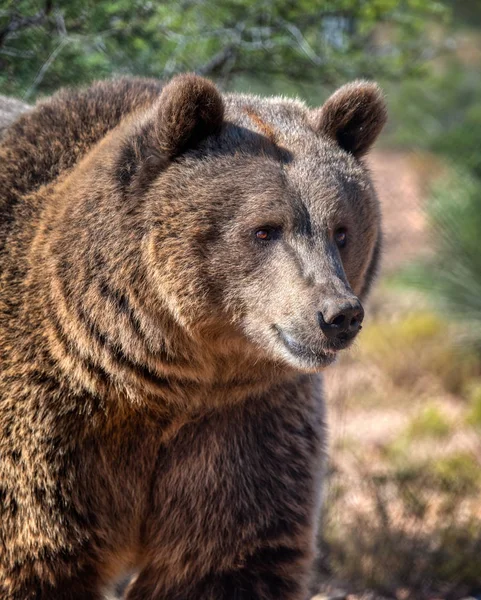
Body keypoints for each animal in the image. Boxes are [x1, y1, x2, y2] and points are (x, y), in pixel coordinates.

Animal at [0, 76, 384, 600]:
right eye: (265, 230)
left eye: (341, 231)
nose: (338, 314)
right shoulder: (49, 434)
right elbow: (38, 558)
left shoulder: (240, 424)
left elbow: (225, 558)